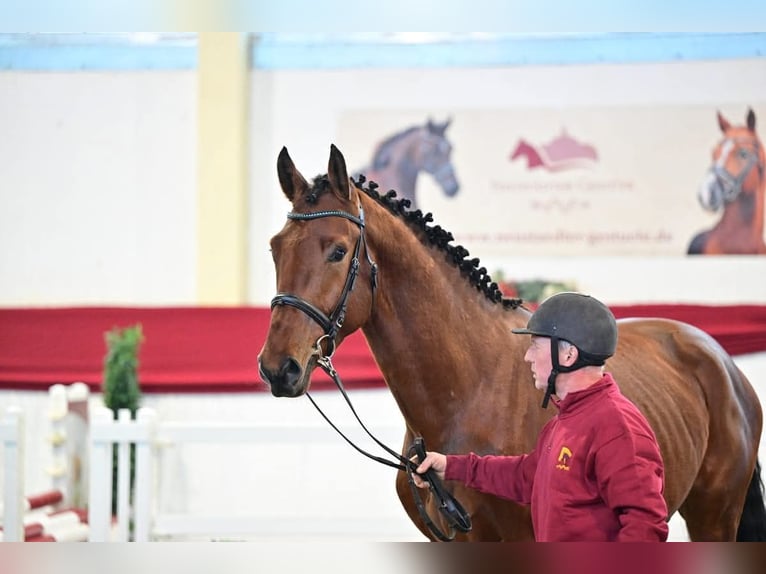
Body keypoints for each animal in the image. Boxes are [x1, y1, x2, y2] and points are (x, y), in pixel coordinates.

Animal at [258, 144, 766, 541]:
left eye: (338, 250)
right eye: (274, 248)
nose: (278, 367)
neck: (468, 391)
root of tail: (720, 360)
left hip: (714, 517)